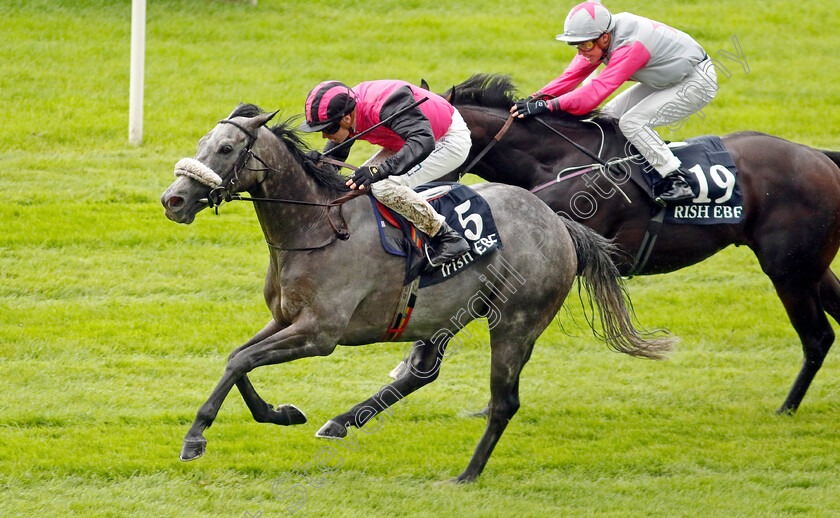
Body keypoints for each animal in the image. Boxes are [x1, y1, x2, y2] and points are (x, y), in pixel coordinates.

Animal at [159, 103, 676, 486]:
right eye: (202, 144)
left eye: (226, 148)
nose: (173, 200)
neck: (315, 228)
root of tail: (559, 222)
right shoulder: (286, 320)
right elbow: (237, 358)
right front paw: (280, 413)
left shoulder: (320, 333)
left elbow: (242, 361)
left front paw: (195, 438)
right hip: (444, 314)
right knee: (423, 373)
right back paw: (343, 421)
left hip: (515, 322)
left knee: (504, 402)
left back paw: (466, 475)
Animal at [446, 73, 840, 416]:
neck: (553, 163)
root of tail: (818, 156)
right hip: (810, 268)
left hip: (789, 271)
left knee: (816, 337)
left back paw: (786, 408)